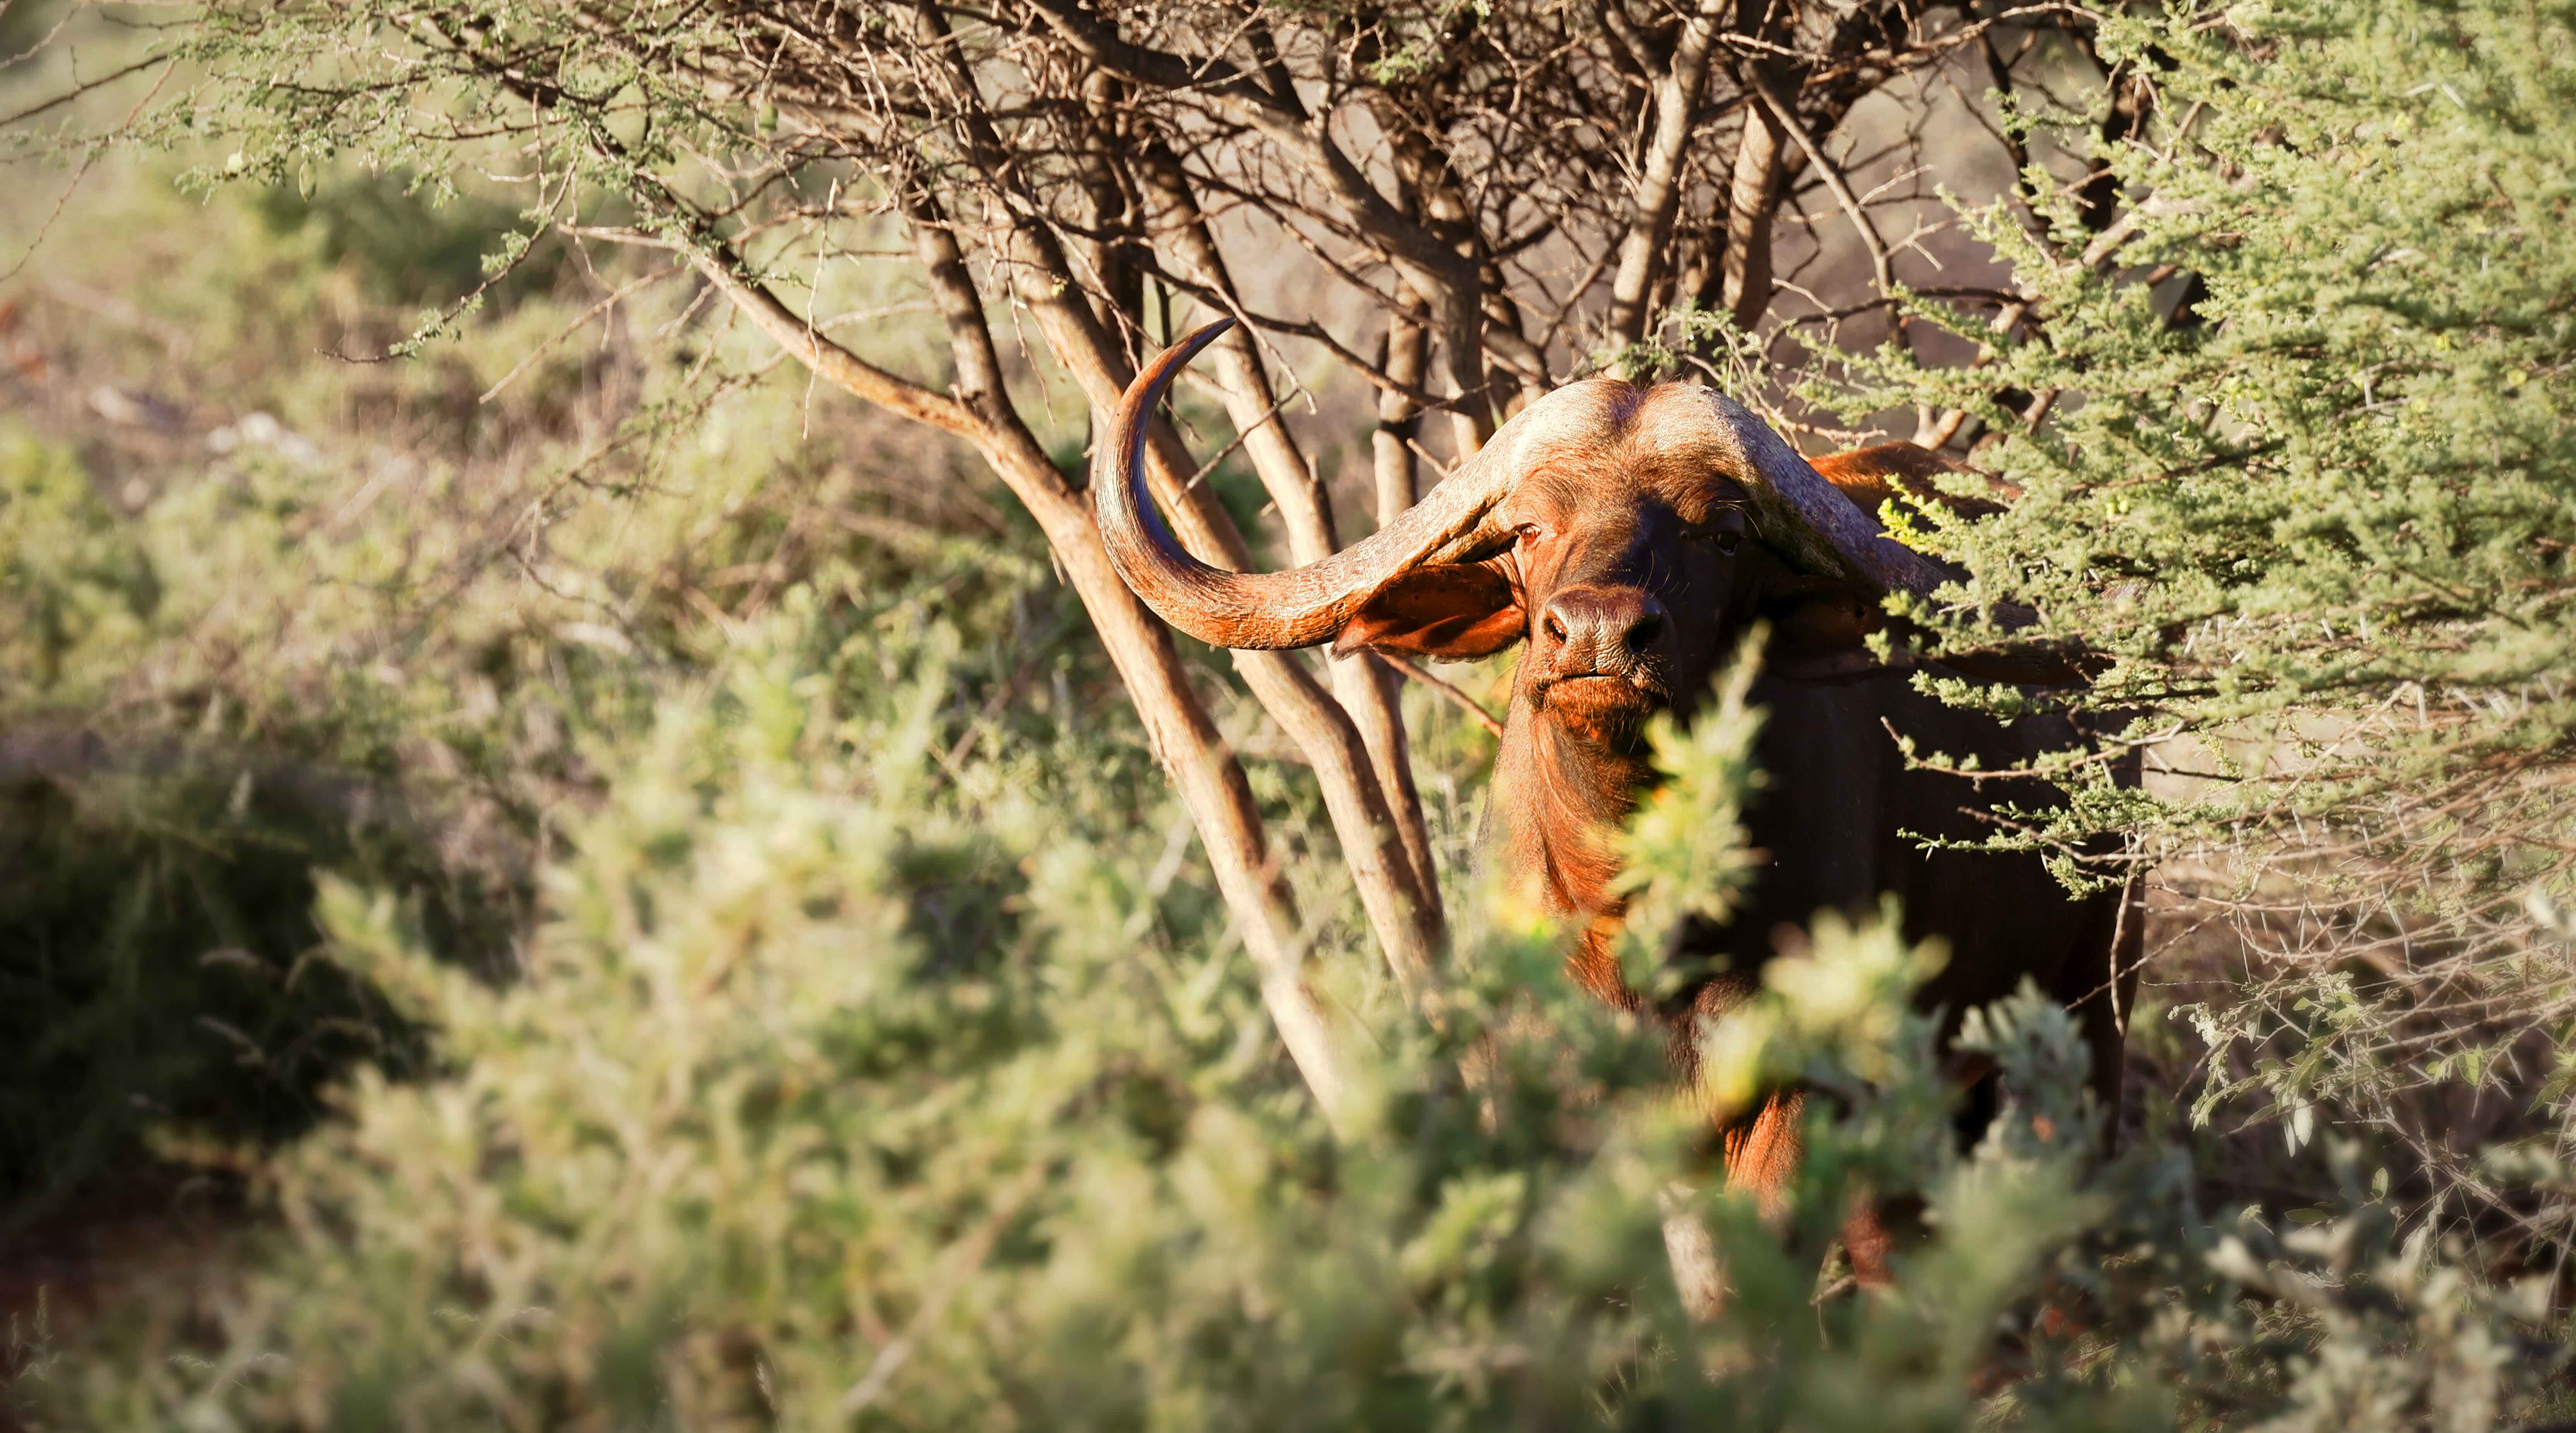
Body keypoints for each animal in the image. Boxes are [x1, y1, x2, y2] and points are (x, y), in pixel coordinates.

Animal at [1096, 321, 2139, 1277]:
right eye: (1527, 527)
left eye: (1722, 533)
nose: (1599, 632)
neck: (1633, 899)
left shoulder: (1802, 1085)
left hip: (2086, 993)